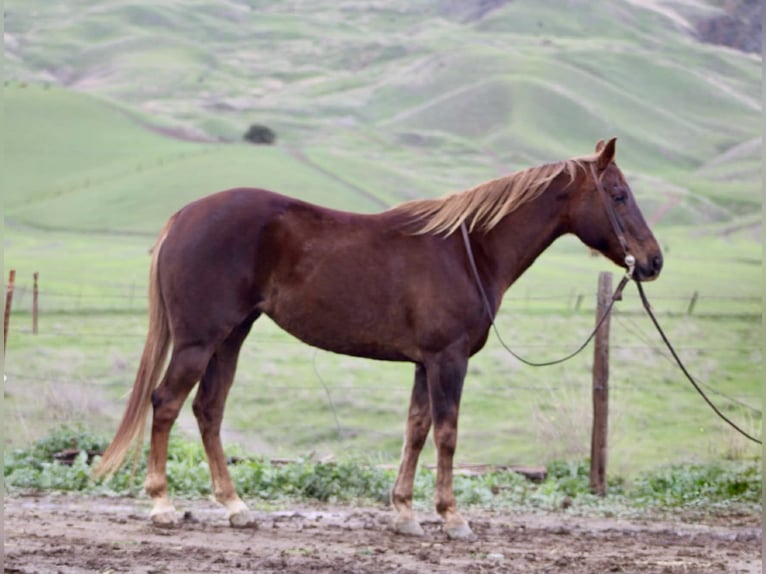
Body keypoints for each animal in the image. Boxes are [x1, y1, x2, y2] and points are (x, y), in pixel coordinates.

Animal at [93, 138, 662, 539]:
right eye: (618, 195)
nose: (653, 261)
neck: (469, 251)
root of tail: (183, 217)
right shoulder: (448, 360)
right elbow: (446, 433)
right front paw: (451, 517)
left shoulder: (424, 363)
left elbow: (415, 429)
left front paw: (405, 514)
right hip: (198, 340)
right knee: (166, 403)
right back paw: (162, 504)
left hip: (230, 338)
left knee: (208, 410)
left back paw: (236, 507)